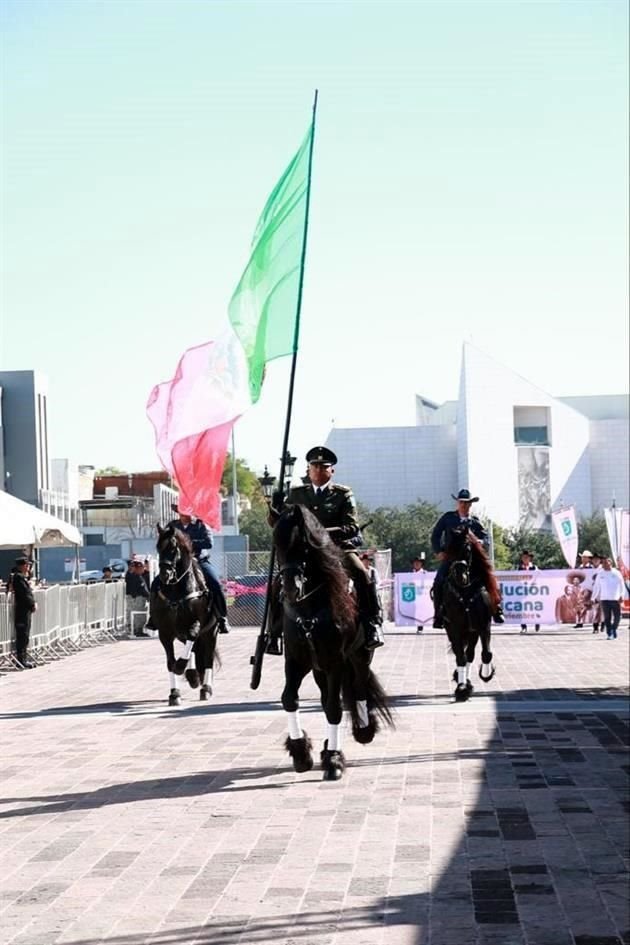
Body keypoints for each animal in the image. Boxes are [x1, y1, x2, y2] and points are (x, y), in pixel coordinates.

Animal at [152, 524, 221, 708]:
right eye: (158, 548)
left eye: (173, 548)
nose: (165, 575)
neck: (176, 590)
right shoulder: (165, 633)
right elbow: (170, 662)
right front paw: (174, 693)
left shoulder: (197, 624)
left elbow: (192, 638)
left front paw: (181, 666)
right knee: (194, 650)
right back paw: (192, 675)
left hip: (211, 632)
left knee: (207, 657)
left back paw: (205, 688)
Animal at [274, 506, 392, 780]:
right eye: (277, 545)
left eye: (304, 547)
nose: (291, 589)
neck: (309, 608)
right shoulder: (296, 660)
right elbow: (289, 699)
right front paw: (300, 752)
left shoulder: (335, 661)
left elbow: (334, 709)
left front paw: (334, 760)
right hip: (319, 668)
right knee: (325, 694)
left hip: (359, 656)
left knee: (358, 688)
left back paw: (363, 730)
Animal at [444, 524, 498, 700]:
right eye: (449, 549)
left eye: (467, 548)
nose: (460, 575)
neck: (465, 590)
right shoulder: (454, 627)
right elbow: (460, 657)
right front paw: (461, 688)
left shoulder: (483, 625)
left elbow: (486, 653)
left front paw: (486, 674)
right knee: (462, 653)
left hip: (472, 631)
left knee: (471, 653)